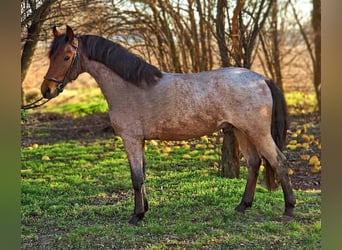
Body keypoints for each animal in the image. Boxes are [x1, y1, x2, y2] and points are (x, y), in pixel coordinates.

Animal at [40, 25, 296, 225]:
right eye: (51, 56)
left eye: (66, 56)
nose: (46, 90)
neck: (129, 87)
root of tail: (261, 78)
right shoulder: (140, 141)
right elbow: (142, 174)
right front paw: (144, 209)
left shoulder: (131, 139)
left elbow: (136, 177)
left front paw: (136, 215)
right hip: (242, 131)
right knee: (254, 163)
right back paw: (243, 205)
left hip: (257, 132)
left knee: (279, 162)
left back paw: (289, 209)